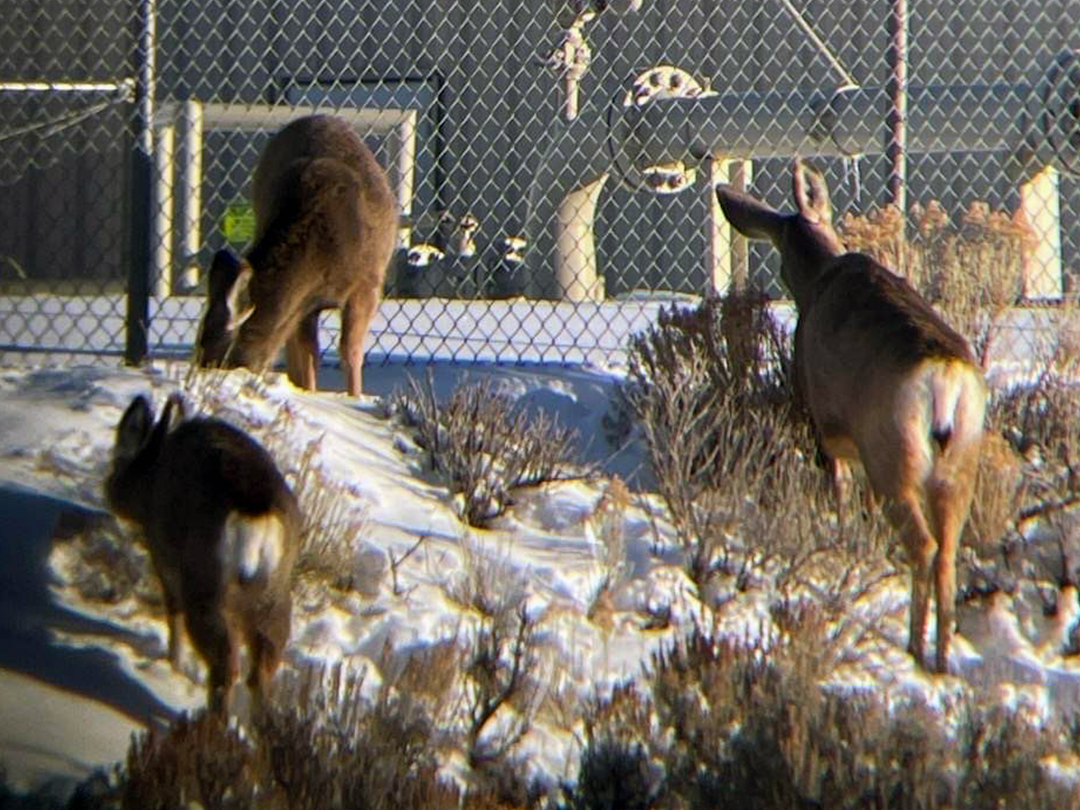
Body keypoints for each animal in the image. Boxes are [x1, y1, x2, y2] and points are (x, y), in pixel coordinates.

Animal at [104, 393, 300, 717]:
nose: (109, 489)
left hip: (205, 583)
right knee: (262, 669)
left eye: (119, 458)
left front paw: (174, 663)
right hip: (274, 594)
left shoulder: (163, 556)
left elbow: (173, 613)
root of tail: (255, 514)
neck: (151, 480)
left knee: (225, 666)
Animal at [196, 113, 399, 397]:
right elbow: (308, 355)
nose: (207, 378)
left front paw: (354, 397)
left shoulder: (366, 284)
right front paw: (310, 393)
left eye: (222, 359)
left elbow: (350, 352)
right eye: (199, 344)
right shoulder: (305, 302)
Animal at [717, 162, 989, 673]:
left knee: (923, 545)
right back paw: (943, 659)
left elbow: (839, 491)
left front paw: (840, 539)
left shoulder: (821, 422)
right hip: (960, 462)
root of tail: (944, 380)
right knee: (948, 552)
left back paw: (914, 647)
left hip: (891, 451)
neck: (822, 276)